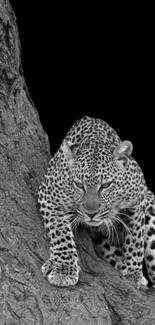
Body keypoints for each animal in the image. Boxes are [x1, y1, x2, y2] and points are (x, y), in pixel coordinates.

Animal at [37, 116, 155, 286]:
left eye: (105, 185)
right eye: (79, 185)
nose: (91, 214)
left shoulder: (139, 198)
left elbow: (135, 237)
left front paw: (133, 273)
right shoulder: (49, 195)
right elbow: (60, 233)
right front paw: (64, 268)